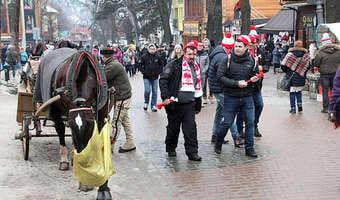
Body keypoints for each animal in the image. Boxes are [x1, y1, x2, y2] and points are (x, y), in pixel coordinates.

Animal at [33, 47, 111, 199]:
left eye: (90, 123)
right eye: (72, 124)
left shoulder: (100, 116)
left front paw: (103, 187)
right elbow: (73, 139)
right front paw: (84, 177)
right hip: (56, 110)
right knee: (61, 131)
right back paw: (64, 160)